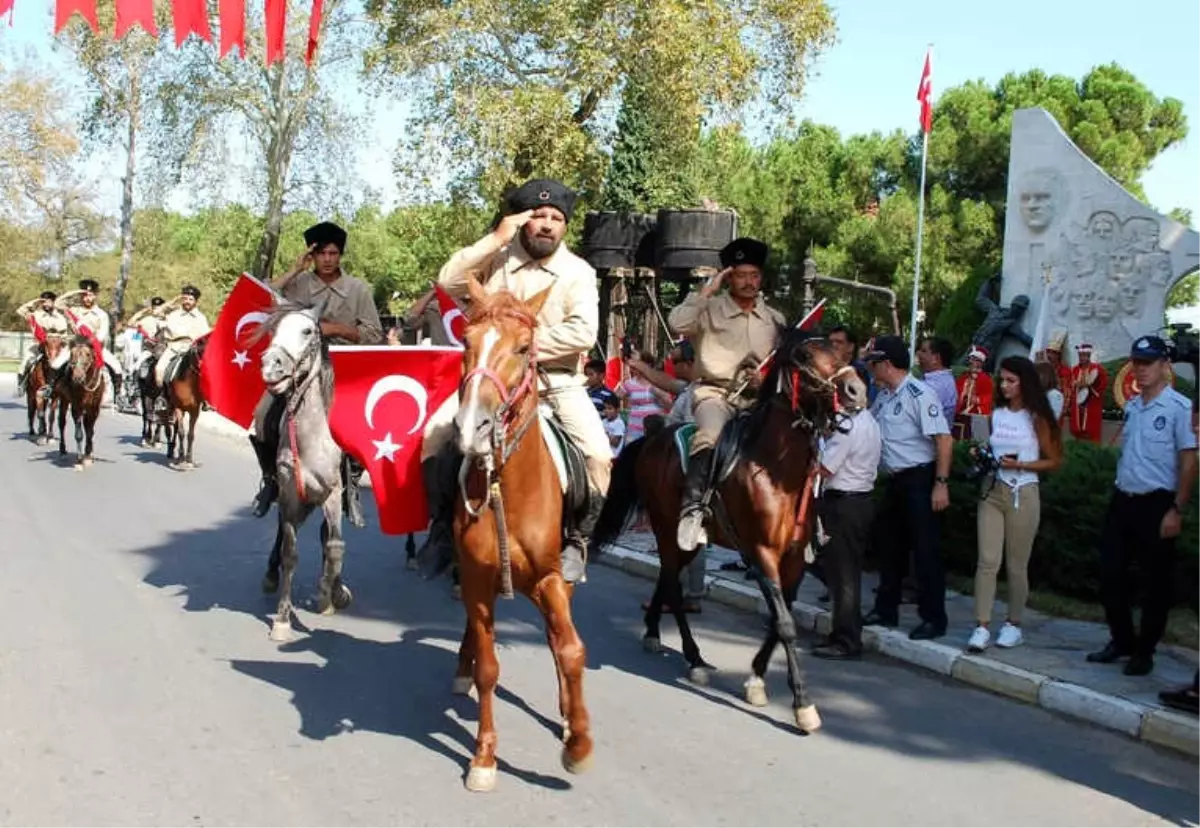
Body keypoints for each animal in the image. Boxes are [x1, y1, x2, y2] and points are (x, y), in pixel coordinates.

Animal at [55, 333, 106, 465]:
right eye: (71, 354)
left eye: (88, 354)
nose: (77, 377)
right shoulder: (76, 406)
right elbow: (79, 433)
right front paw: (79, 458)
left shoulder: (94, 408)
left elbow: (90, 431)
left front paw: (88, 453)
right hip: (63, 399)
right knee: (61, 422)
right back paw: (62, 449)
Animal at [260, 300, 352, 643]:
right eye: (274, 329)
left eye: (307, 331)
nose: (270, 366)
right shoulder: (289, 493)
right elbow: (290, 552)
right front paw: (282, 620)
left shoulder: (333, 492)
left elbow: (335, 546)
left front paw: (332, 594)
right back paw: (271, 575)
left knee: (328, 537)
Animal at [451, 278, 590, 792]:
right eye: (465, 343)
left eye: (525, 347)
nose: (472, 427)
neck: (507, 489)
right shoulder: (475, 579)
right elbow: (489, 666)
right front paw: (484, 758)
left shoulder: (551, 578)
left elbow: (570, 649)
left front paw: (578, 743)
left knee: (555, 639)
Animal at [592, 326, 844, 734]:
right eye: (806, 357)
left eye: (839, 353)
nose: (856, 390)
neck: (777, 470)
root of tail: (652, 438)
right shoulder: (760, 552)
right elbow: (785, 623)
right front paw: (802, 704)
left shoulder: (792, 559)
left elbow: (781, 618)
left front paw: (756, 677)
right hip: (667, 527)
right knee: (672, 584)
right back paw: (693, 658)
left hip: (688, 540)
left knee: (669, 576)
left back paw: (653, 632)